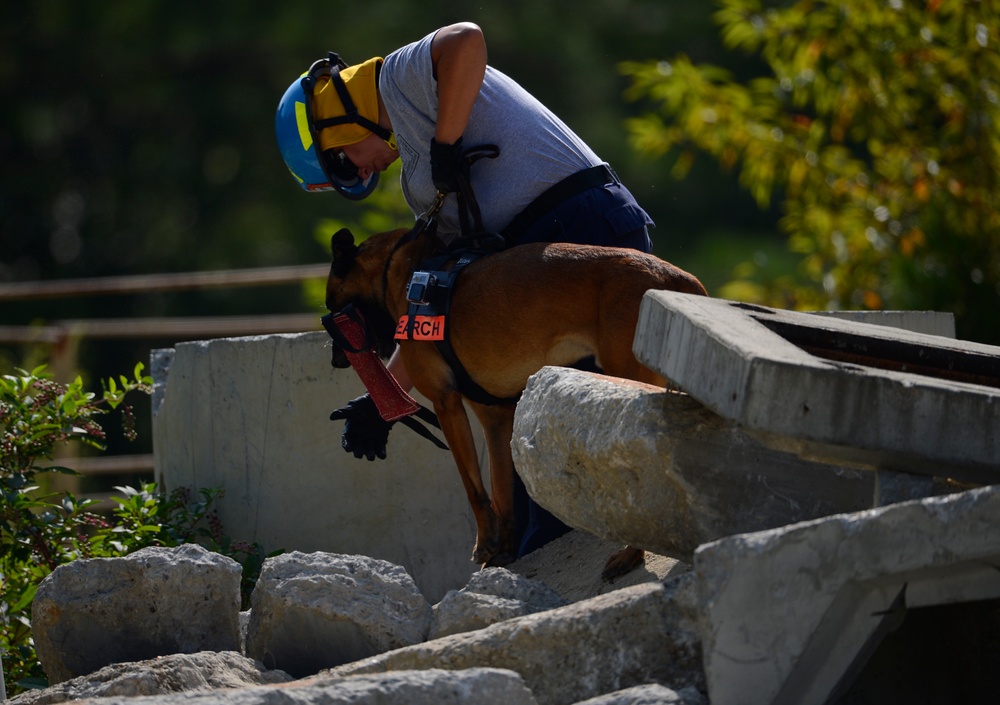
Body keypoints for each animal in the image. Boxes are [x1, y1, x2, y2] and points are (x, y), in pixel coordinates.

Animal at [324, 226, 708, 576]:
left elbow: (474, 489)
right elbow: (501, 491)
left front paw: (485, 545)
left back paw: (632, 553)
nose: (336, 361)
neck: (402, 268)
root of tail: (679, 278)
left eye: (330, 307)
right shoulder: (495, 416)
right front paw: (503, 551)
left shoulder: (446, 404)